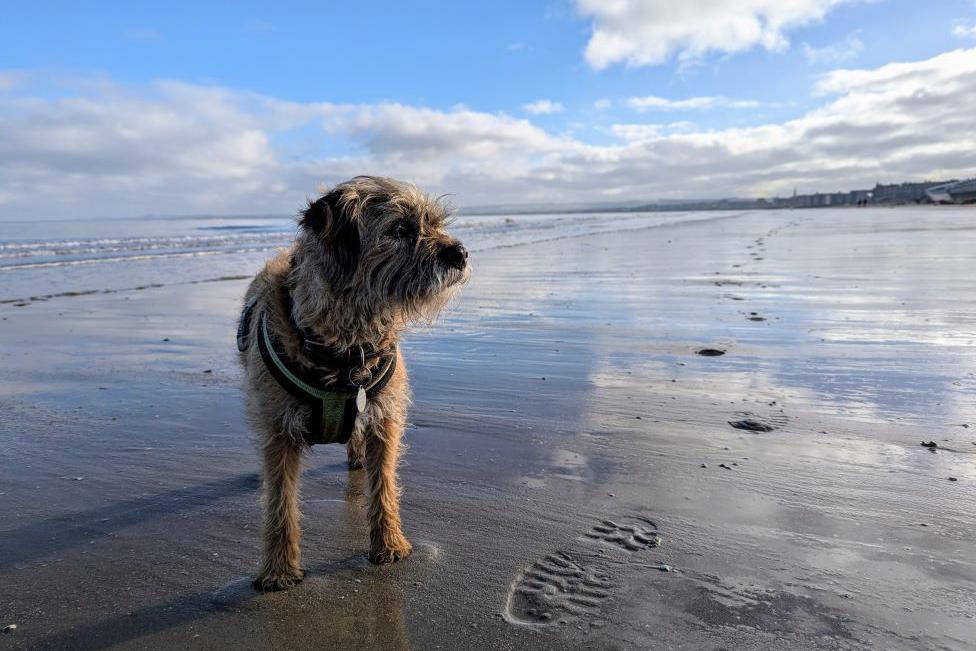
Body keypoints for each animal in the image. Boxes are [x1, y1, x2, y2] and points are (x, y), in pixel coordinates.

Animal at [235, 177, 466, 592]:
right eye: (399, 229)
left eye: (434, 222)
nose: (461, 253)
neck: (346, 343)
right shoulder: (278, 432)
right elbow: (280, 504)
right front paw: (279, 570)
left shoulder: (384, 419)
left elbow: (385, 485)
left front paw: (390, 545)